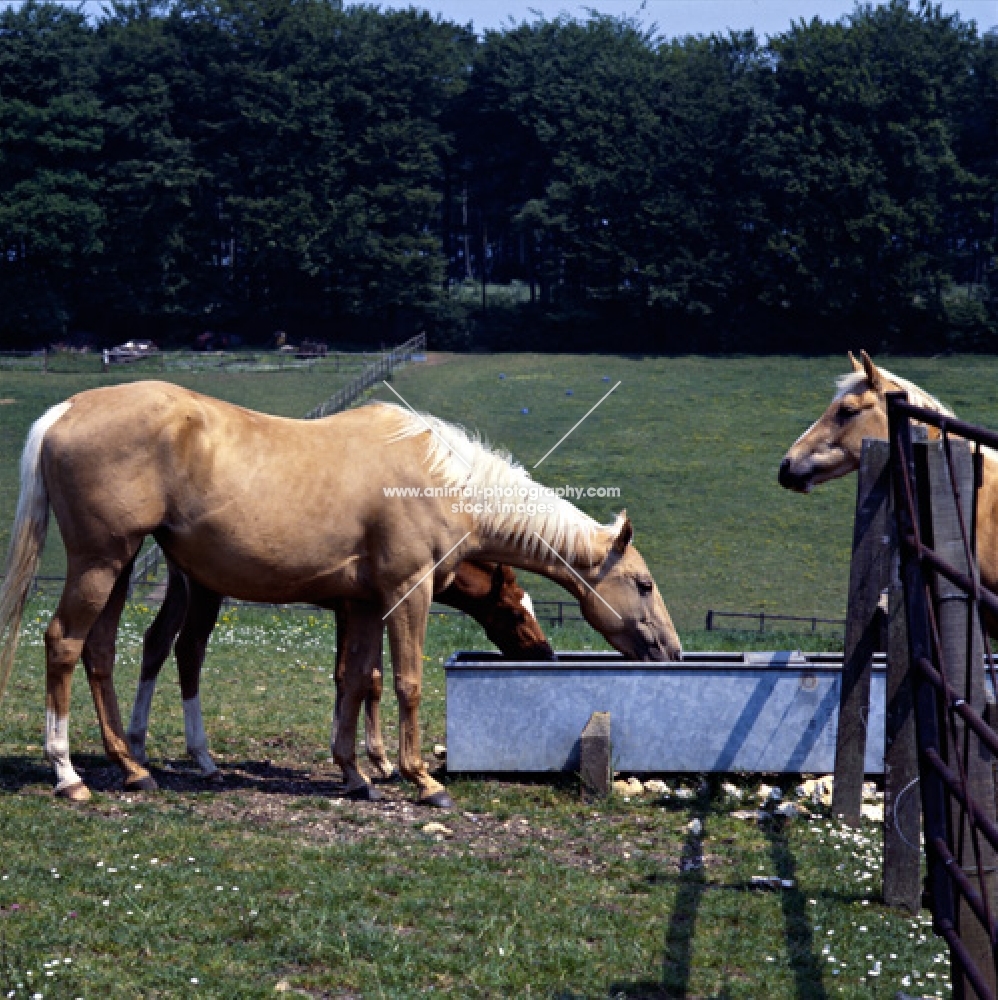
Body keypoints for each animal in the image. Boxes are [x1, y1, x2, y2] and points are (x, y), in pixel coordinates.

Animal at [125, 556, 556, 788]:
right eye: (515, 612)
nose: (546, 652)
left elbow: (358, 677)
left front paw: (357, 758)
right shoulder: (352, 608)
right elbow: (360, 677)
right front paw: (372, 761)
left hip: (180, 587)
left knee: (156, 641)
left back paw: (136, 744)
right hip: (204, 589)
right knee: (188, 649)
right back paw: (203, 758)